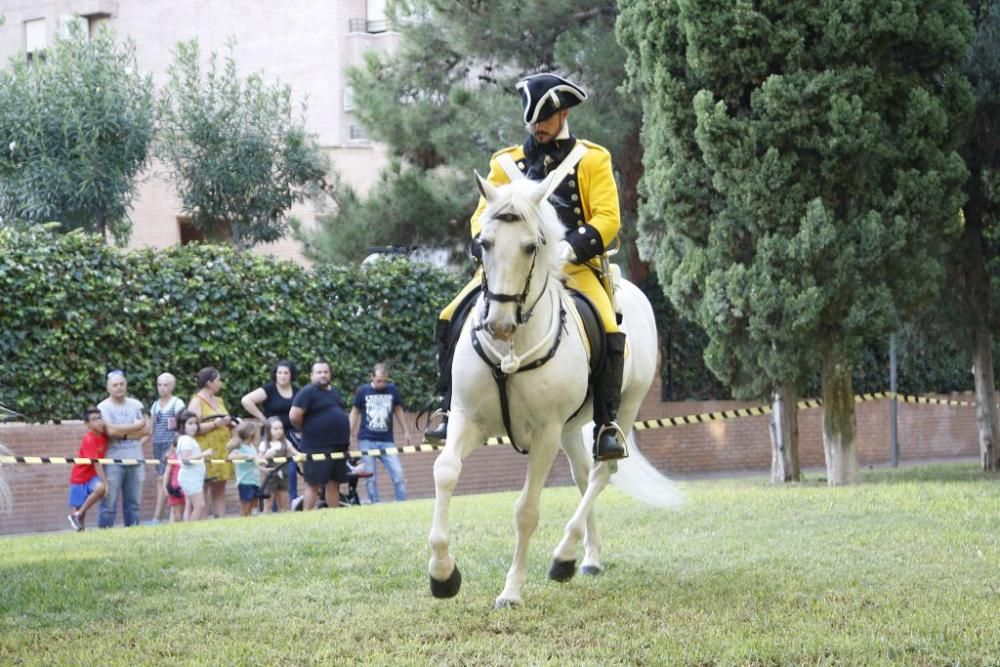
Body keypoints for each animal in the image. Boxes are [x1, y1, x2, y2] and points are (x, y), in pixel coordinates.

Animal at [426, 174, 684, 612]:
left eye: (531, 246)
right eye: (484, 243)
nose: (499, 324)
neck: (511, 351)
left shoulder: (545, 433)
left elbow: (526, 510)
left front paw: (511, 591)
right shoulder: (468, 418)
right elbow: (445, 471)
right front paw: (443, 574)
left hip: (623, 408)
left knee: (601, 471)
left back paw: (564, 555)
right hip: (570, 427)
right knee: (582, 474)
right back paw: (588, 557)